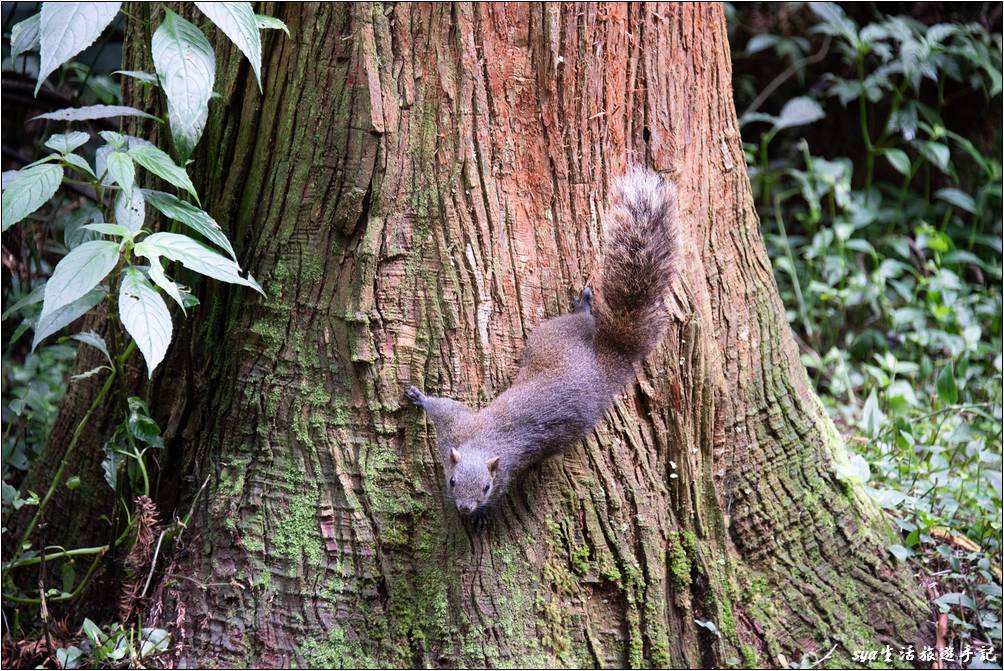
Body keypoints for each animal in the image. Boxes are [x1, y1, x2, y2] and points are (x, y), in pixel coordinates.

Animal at [405, 166, 674, 530]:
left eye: (487, 487)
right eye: (452, 480)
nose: (465, 508)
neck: (482, 443)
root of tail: (608, 360)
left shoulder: (497, 458)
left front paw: (482, 516)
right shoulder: (457, 428)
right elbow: (443, 408)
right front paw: (419, 398)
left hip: (555, 335)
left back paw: (584, 305)